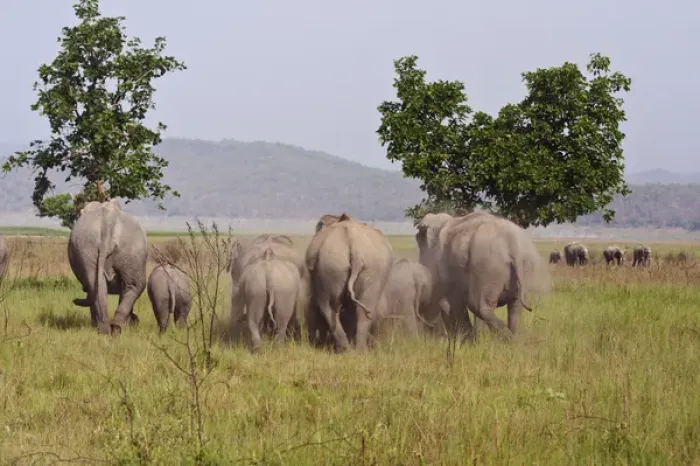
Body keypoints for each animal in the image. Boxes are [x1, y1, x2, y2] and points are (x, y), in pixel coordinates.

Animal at [68, 199, 148, 335]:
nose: (75, 300)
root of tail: (109, 221)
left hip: (88, 247)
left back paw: (108, 330)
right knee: (131, 286)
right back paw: (113, 330)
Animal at [305, 212, 394, 352]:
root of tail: (353, 243)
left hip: (331, 265)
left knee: (330, 307)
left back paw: (346, 350)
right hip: (367, 268)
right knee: (364, 307)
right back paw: (358, 350)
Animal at [415, 211, 550, 342]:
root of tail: (510, 240)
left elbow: (449, 303)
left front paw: (466, 342)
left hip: (487, 265)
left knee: (479, 305)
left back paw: (511, 341)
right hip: (523, 266)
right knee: (515, 306)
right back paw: (515, 340)